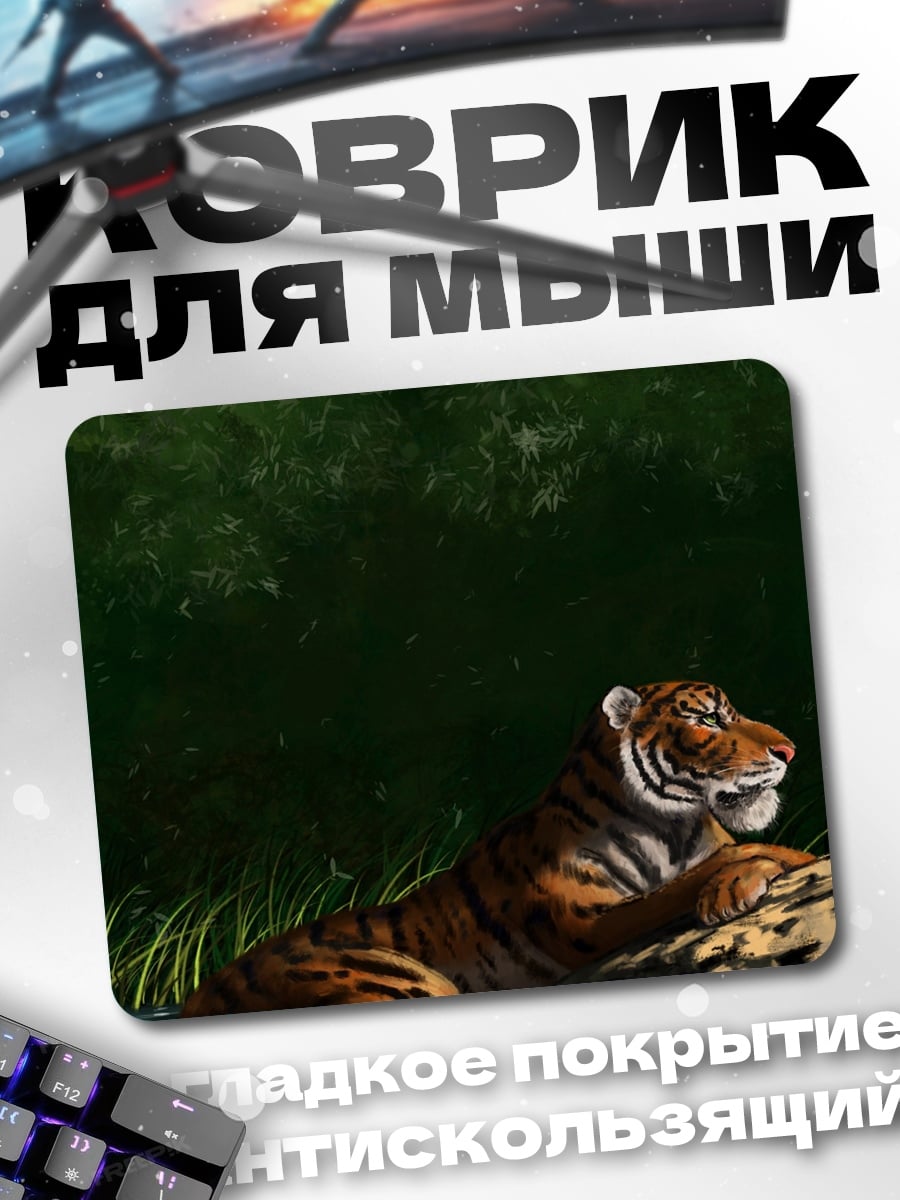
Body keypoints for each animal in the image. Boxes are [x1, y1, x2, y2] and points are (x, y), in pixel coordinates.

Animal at [180, 681, 815, 1016]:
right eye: (708, 720)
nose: (790, 750)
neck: (674, 825)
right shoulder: (582, 920)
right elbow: (682, 885)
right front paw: (746, 875)